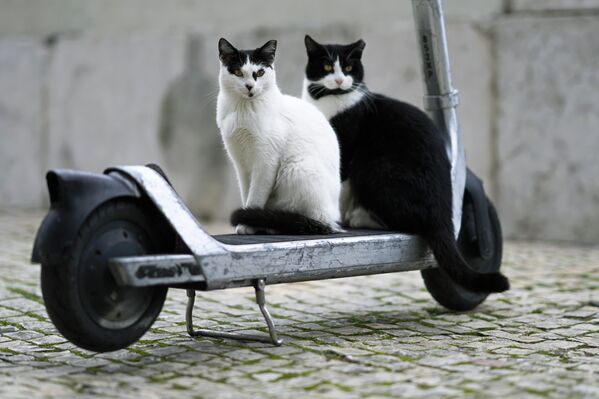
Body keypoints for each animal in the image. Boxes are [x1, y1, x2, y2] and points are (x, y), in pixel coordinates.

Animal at [217, 37, 342, 234]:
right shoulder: (241, 164)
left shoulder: (266, 162)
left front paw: (246, 224)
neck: (243, 109)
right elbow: (246, 193)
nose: (250, 86)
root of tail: (332, 219)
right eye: (237, 72)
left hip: (297, 169)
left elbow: (255, 197)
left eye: (260, 72)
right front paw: (246, 220)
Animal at [302, 36, 508, 294]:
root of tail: (444, 210)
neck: (328, 100)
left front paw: (334, 218)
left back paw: (360, 217)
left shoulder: (346, 150)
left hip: (373, 167)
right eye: (327, 66)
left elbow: (340, 186)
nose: (339, 80)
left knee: (408, 223)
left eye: (349, 68)